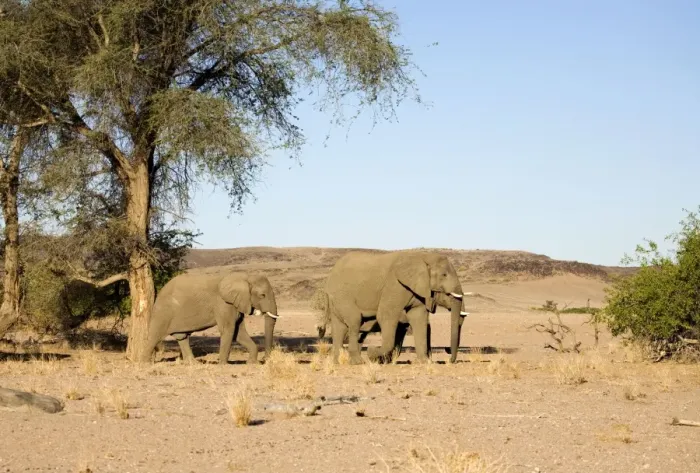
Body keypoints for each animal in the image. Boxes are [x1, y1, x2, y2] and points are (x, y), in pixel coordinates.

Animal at [142, 271, 280, 364]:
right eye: (262, 295)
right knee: (154, 337)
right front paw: (223, 364)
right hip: (163, 312)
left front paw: (251, 363)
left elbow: (238, 332)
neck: (245, 277)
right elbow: (229, 330)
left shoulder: (235, 303)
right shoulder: (223, 303)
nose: (265, 359)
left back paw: (193, 364)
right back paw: (145, 363)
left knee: (182, 337)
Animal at [319, 250, 468, 365]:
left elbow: (419, 319)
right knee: (354, 321)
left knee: (340, 328)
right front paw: (375, 354)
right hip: (342, 296)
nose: (449, 357)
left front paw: (425, 362)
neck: (423, 256)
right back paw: (357, 362)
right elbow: (386, 315)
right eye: (444, 275)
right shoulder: (395, 284)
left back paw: (338, 361)